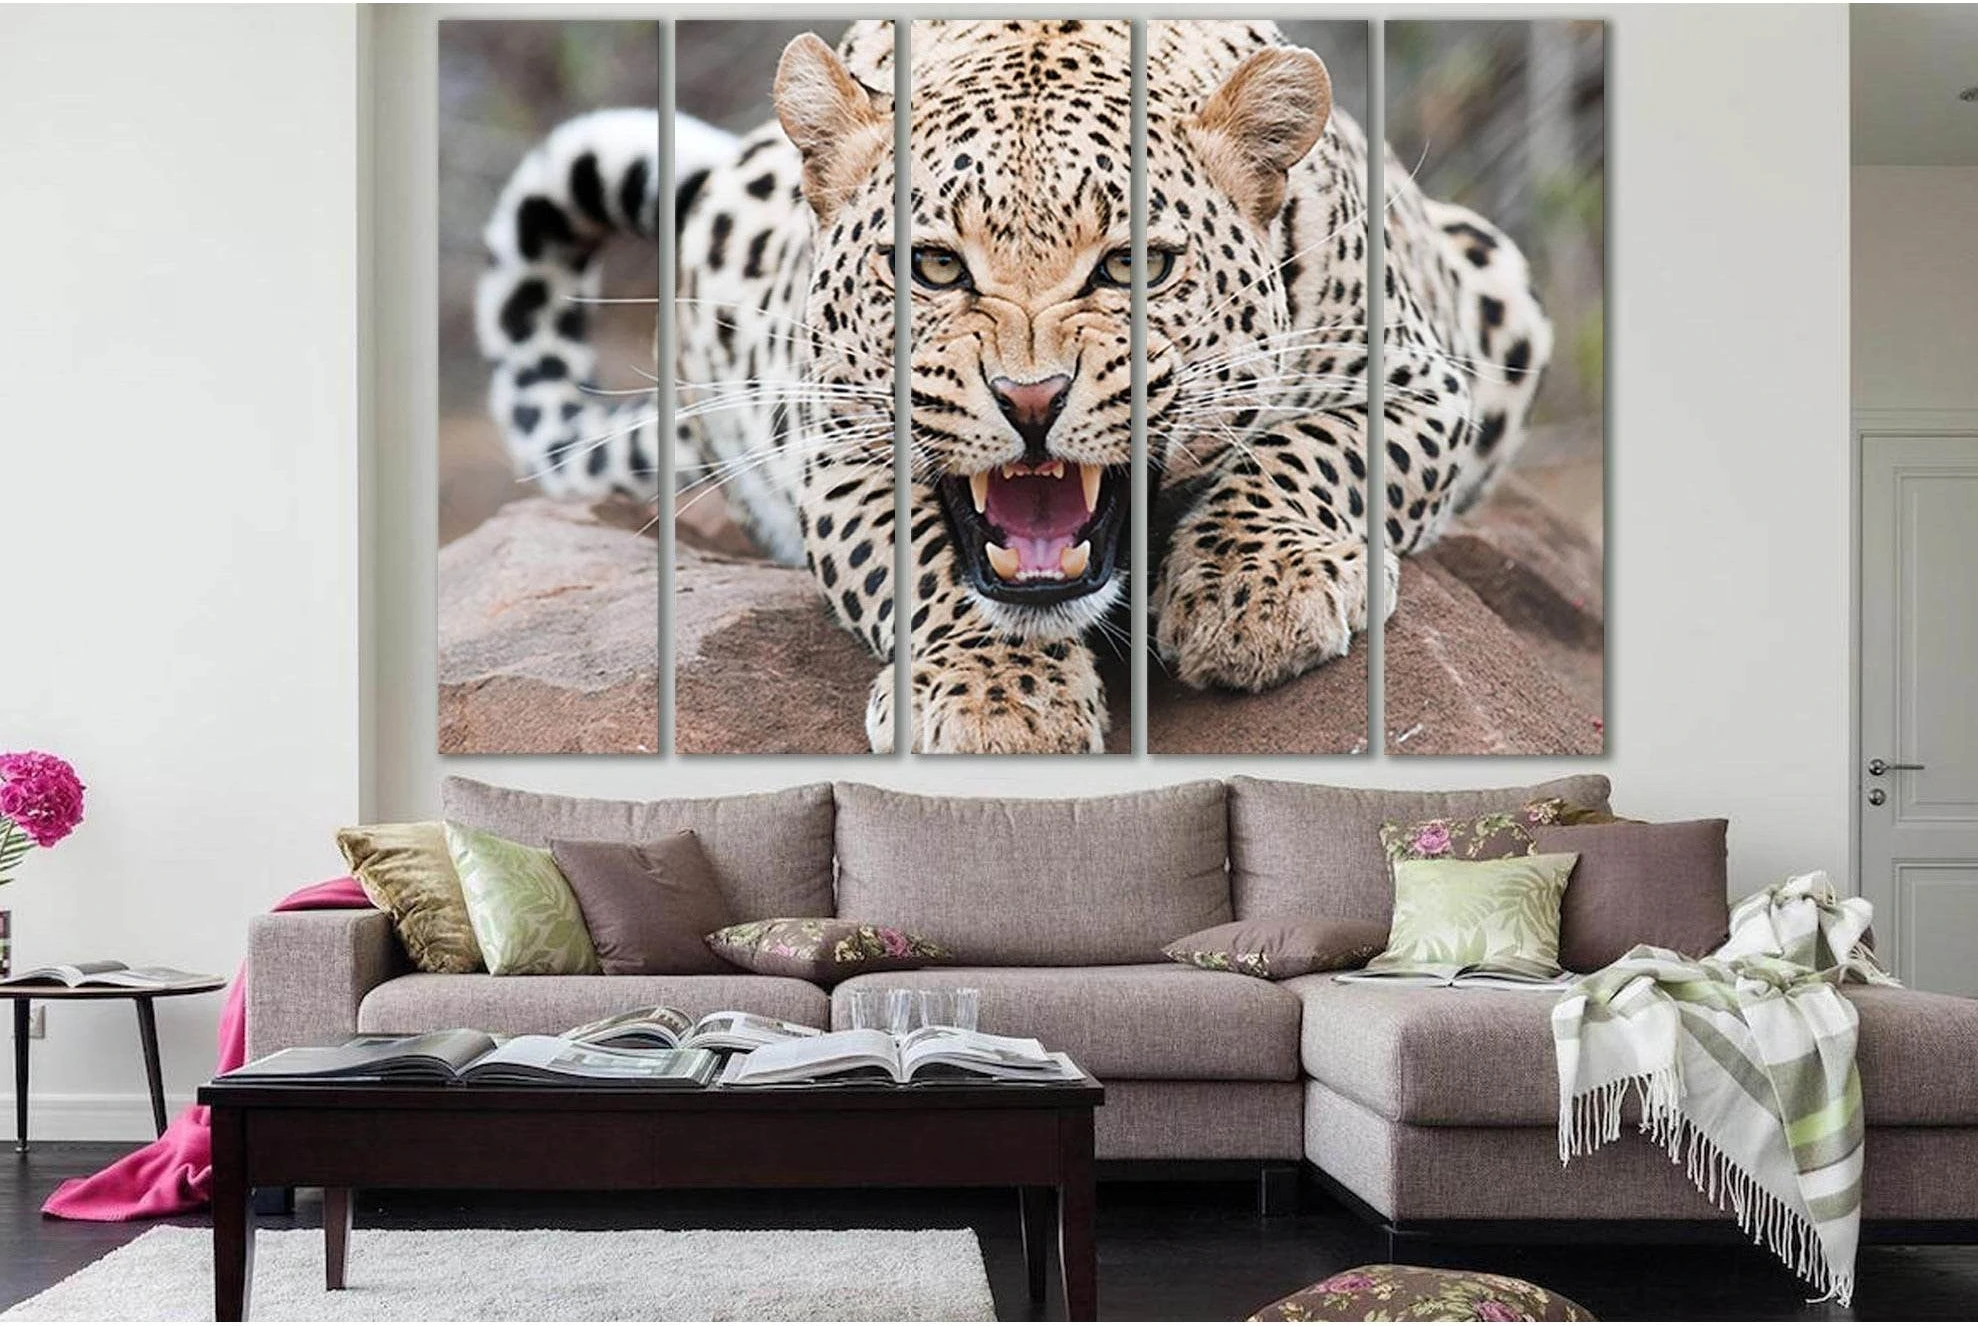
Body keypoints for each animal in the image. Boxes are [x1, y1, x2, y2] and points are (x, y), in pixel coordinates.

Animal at [474, 19, 1550, 754]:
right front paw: (997, 699)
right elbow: (920, 561)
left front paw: (1255, 595)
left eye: (1132, 266)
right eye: (935, 267)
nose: (1031, 400)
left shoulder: (1423, 379)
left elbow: (1309, 452)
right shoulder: (834, 444)